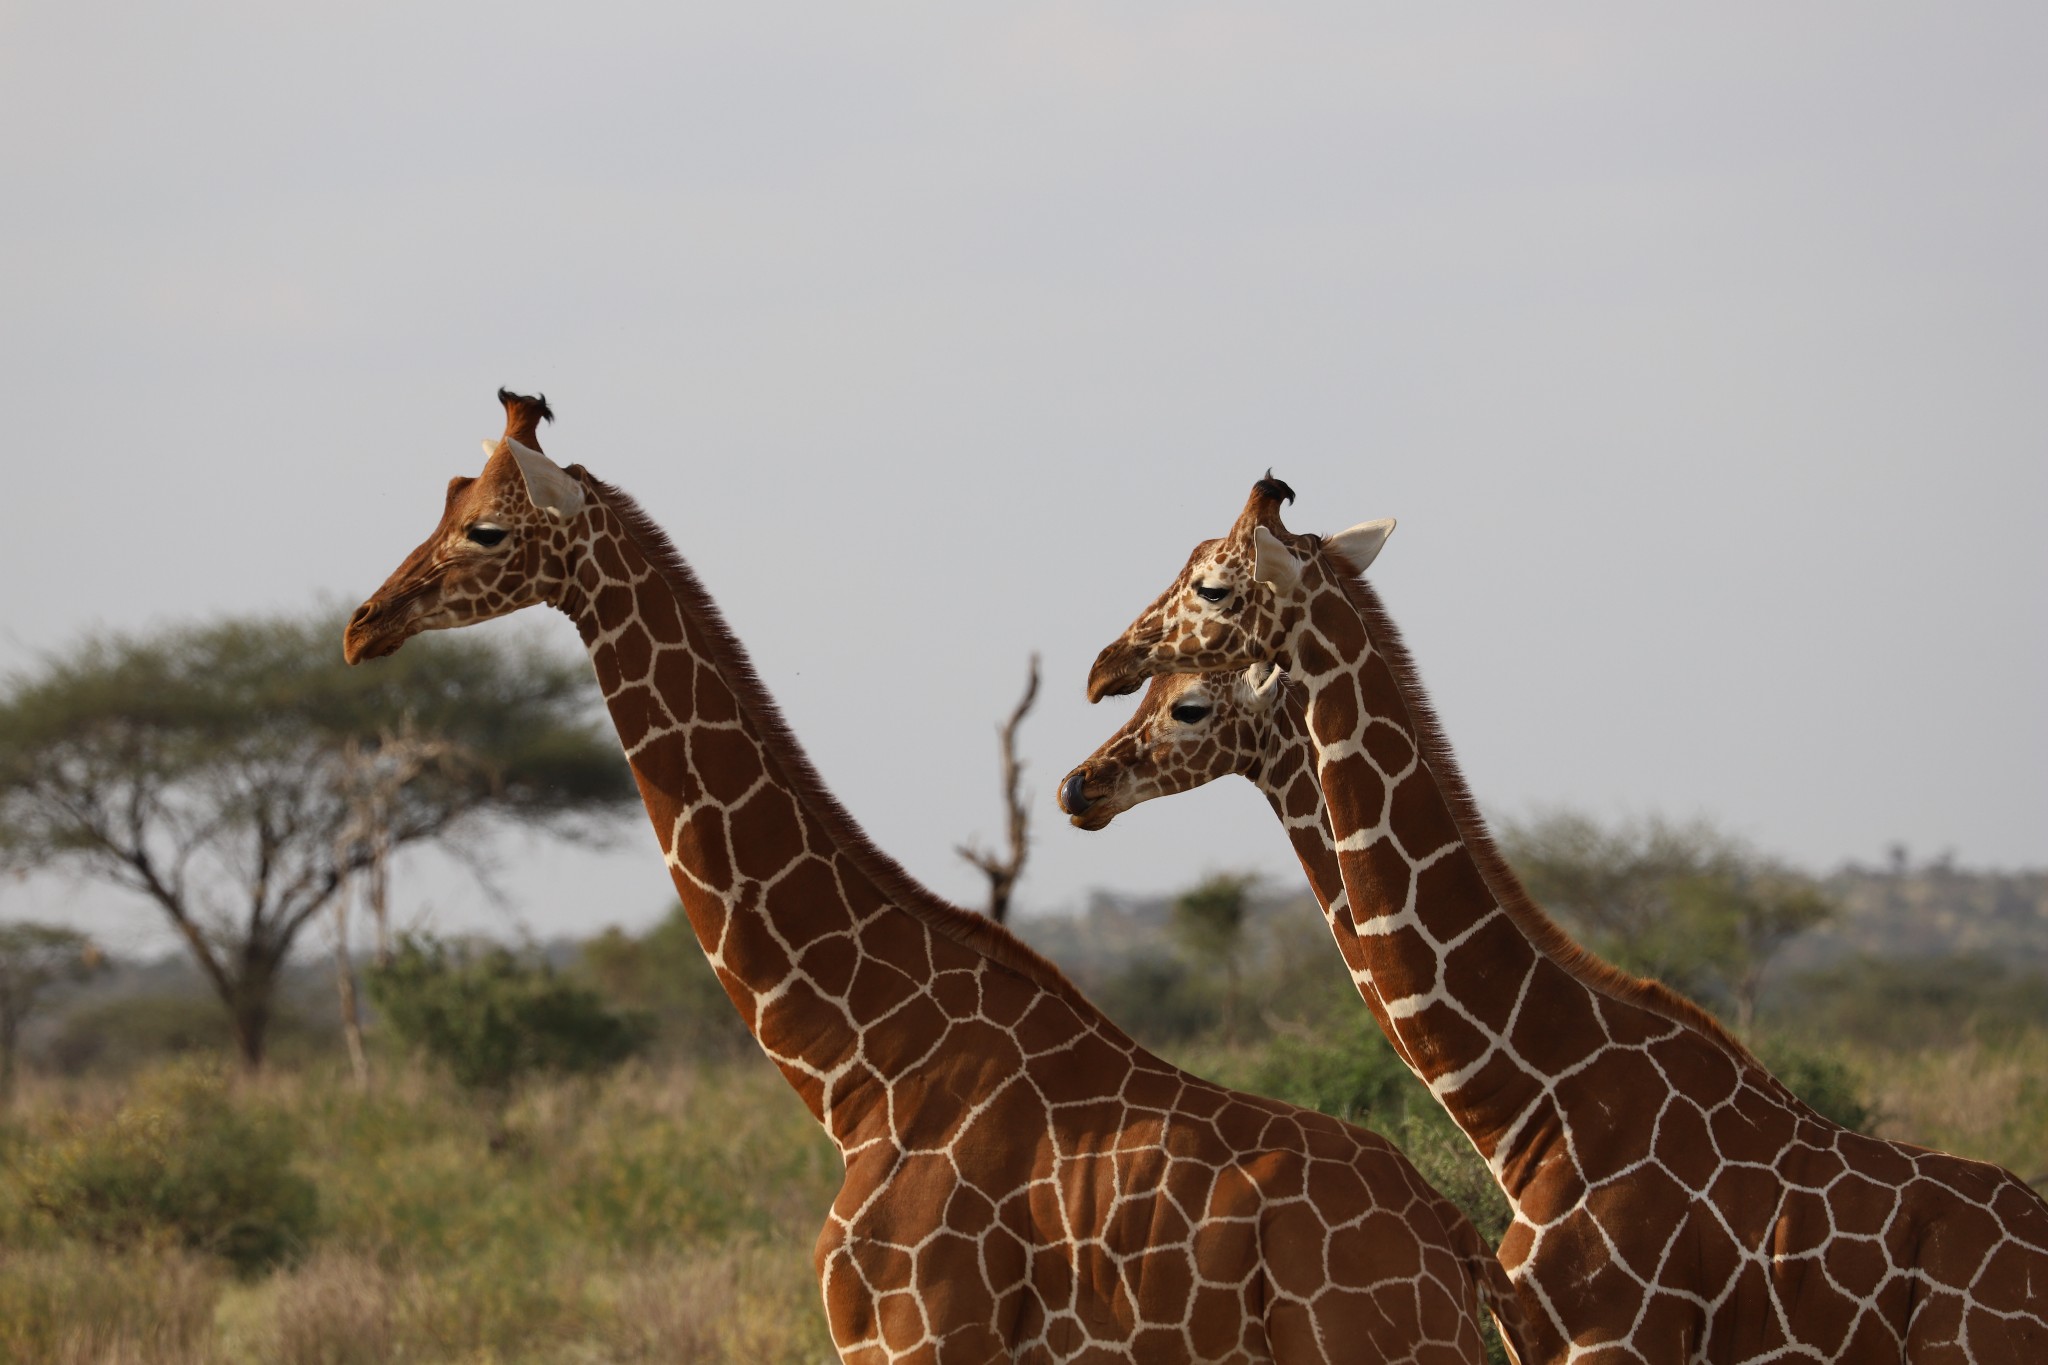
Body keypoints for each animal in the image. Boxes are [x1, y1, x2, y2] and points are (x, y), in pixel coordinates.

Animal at [339, 388, 1523, 1365]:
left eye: (486, 528)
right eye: (444, 502)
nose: (364, 623)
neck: (859, 1064)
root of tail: (1461, 1247)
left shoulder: (917, 1337)